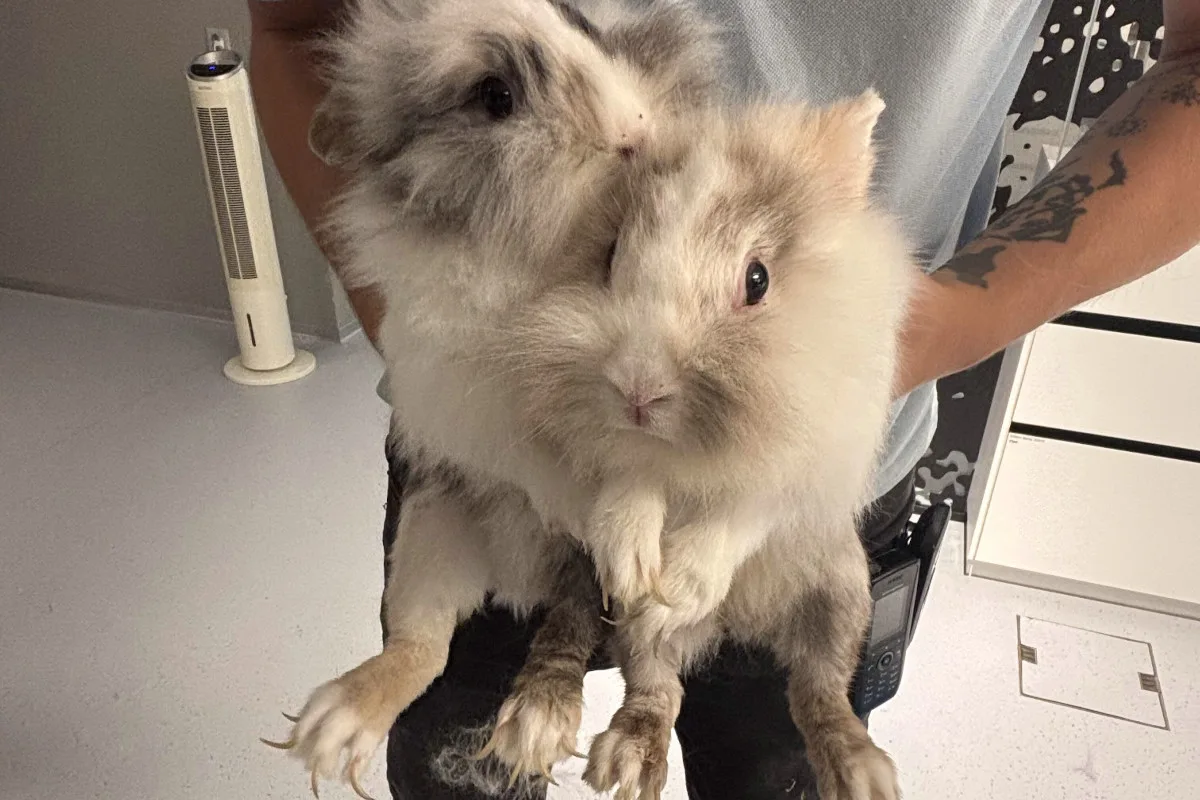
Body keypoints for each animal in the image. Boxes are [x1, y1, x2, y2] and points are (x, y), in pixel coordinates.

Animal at [259, 0, 723, 795]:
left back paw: (598, 741)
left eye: (585, 27)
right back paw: (340, 725)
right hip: (432, 534)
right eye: (495, 96)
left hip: (634, 604)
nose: (633, 133)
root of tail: (517, 577)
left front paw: (629, 534)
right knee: (423, 646)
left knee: (640, 666)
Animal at [499, 90, 918, 800]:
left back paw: (858, 770)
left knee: (819, 689)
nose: (638, 389)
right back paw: (624, 755)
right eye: (608, 257)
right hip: (629, 633)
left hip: (843, 592)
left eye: (758, 279)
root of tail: (736, 623)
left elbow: (745, 507)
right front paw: (634, 561)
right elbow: (629, 481)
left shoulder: (803, 461)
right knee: (652, 684)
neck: (692, 449)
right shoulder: (621, 452)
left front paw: (682, 583)